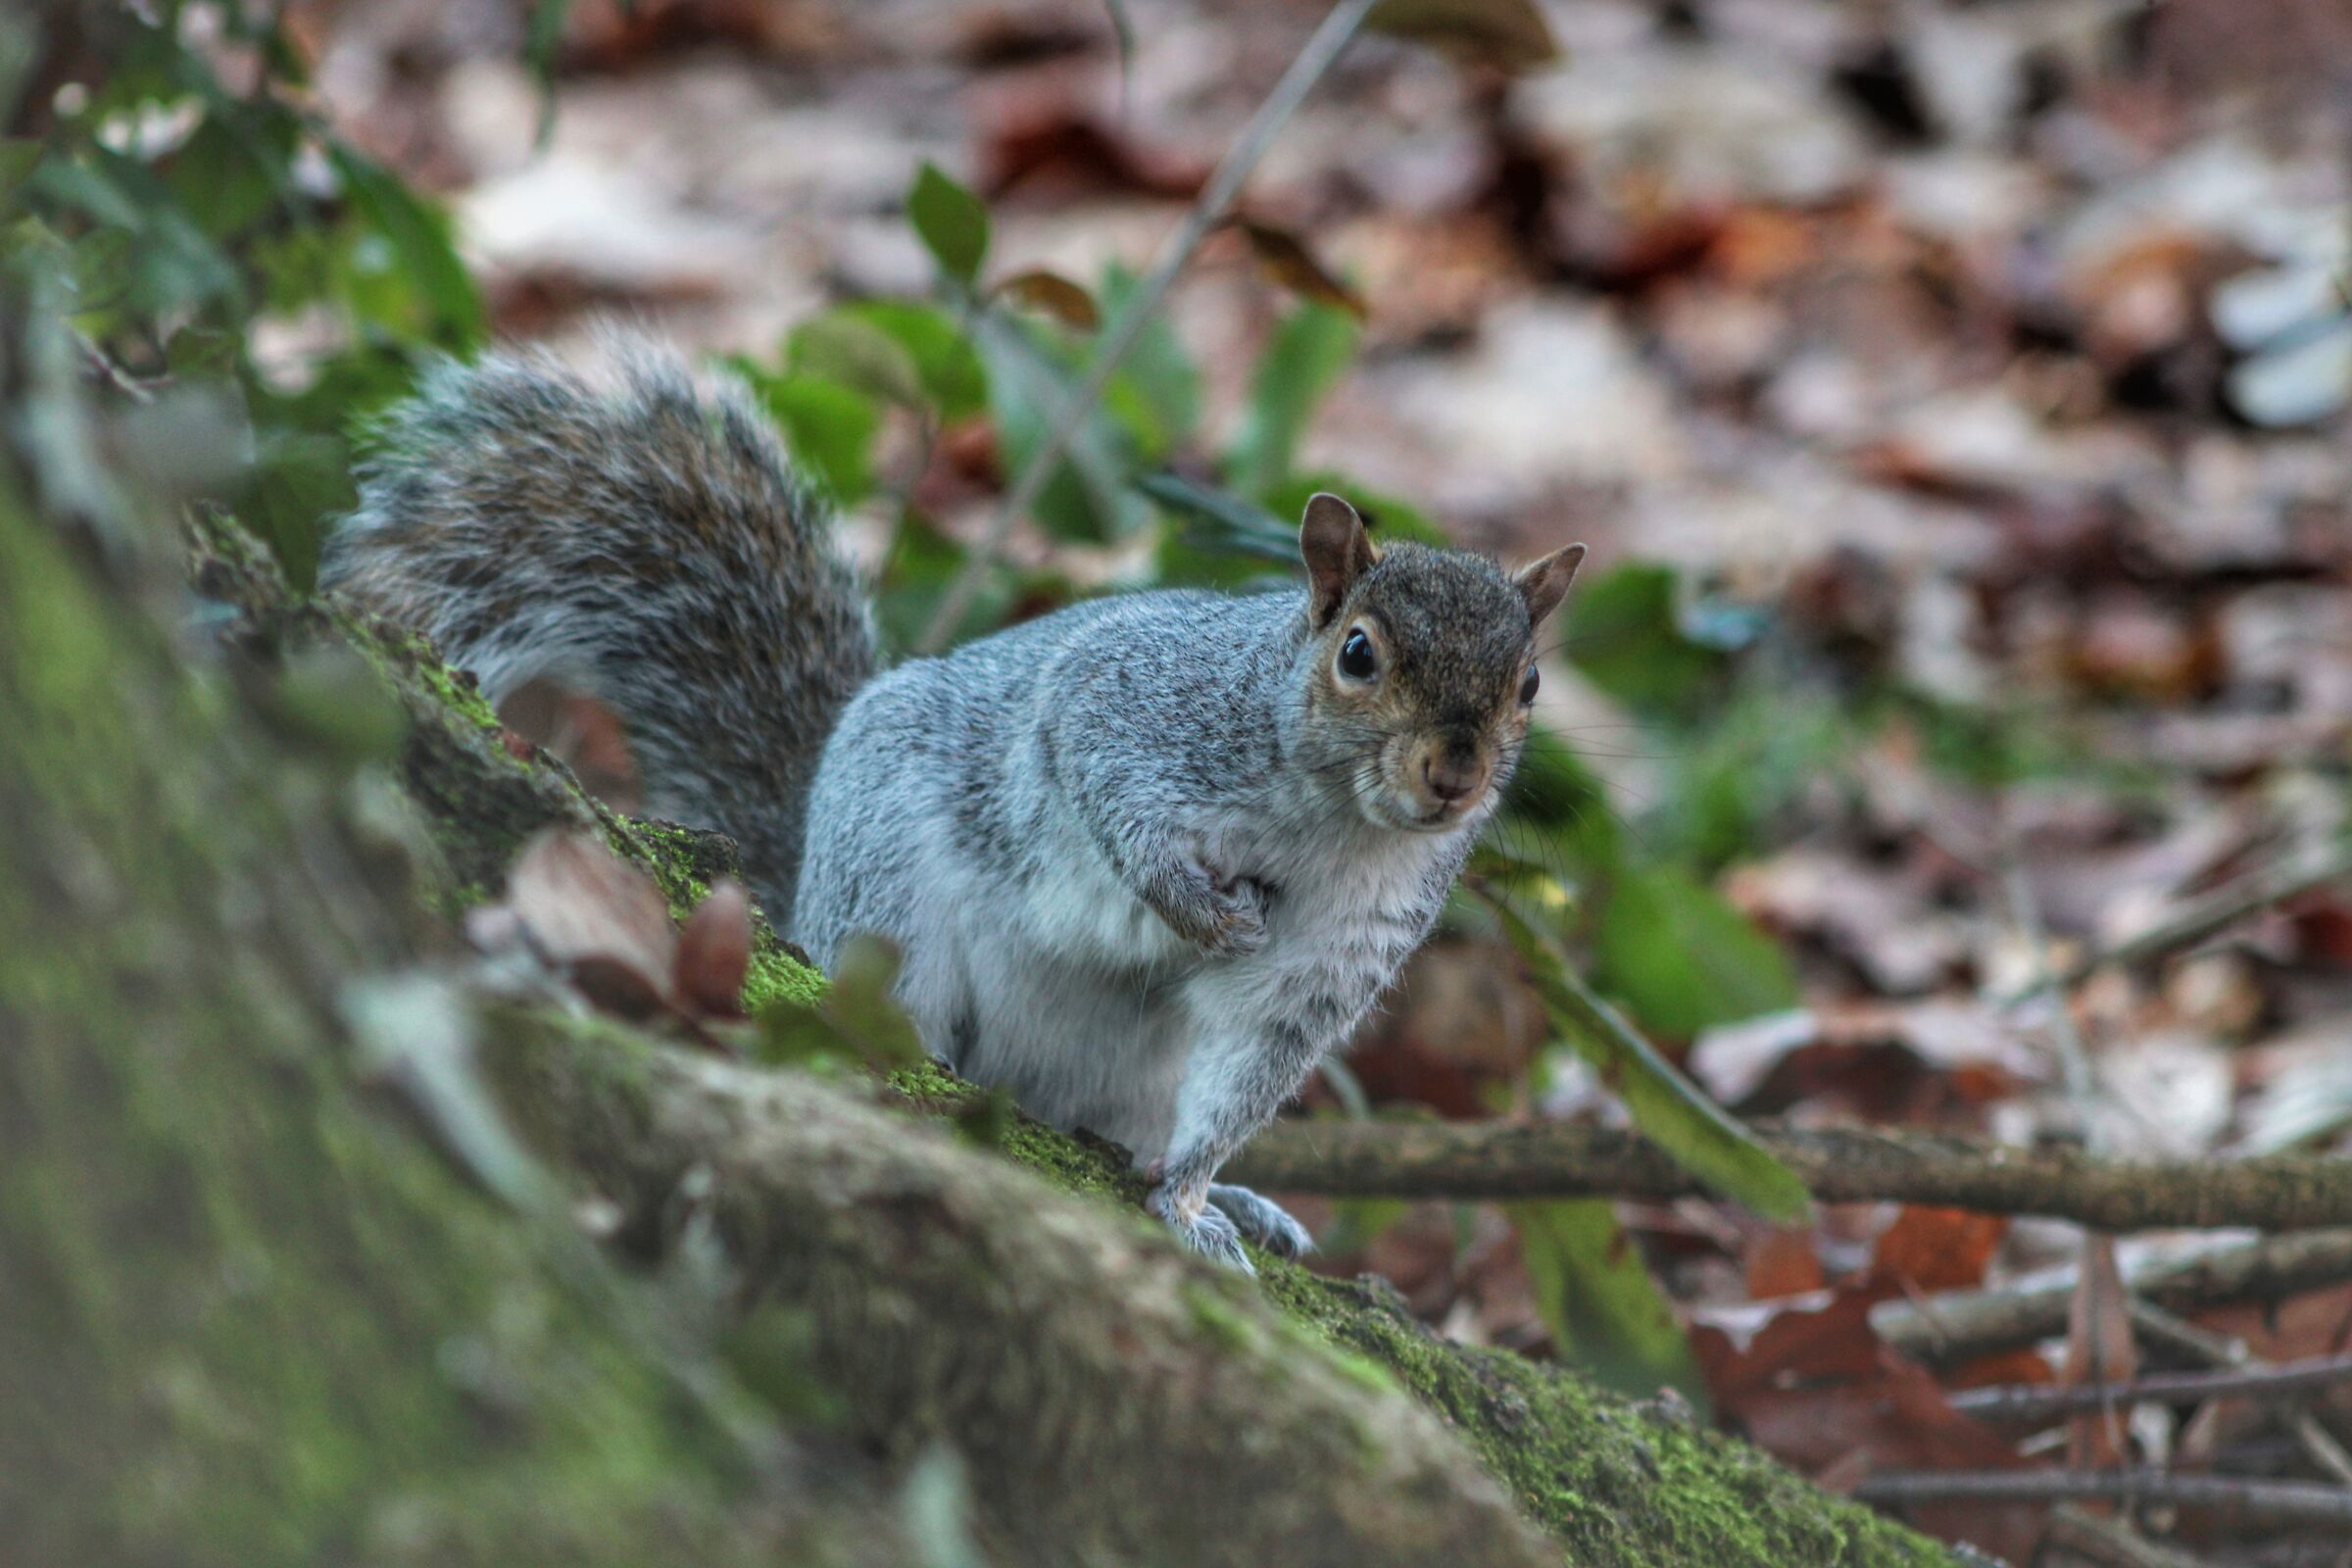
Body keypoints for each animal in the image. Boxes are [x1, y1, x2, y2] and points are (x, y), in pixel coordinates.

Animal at [325, 338, 1585, 1272]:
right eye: (1359, 654)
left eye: (1529, 684)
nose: (1454, 774)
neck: (1334, 824)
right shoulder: (1130, 704)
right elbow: (1103, 781)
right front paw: (1191, 904)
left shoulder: (1331, 957)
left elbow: (1245, 1073)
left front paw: (1191, 1201)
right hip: (891, 887)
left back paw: (1244, 1200)